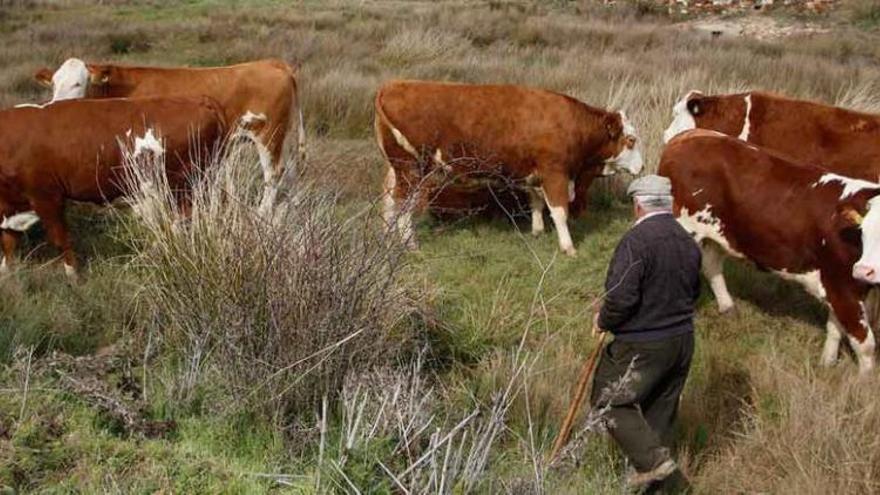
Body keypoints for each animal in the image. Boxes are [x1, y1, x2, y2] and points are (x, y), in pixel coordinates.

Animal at [0, 95, 227, 278]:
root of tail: (198, 101)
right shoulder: (11, 205)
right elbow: (9, 243)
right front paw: (6, 276)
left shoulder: (46, 196)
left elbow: (60, 239)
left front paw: (73, 277)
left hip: (180, 186)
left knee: (180, 222)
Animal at [35, 57, 302, 214]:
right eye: (54, 83)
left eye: (79, 83)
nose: (55, 105)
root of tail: (273, 63)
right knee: (288, 174)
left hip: (269, 135)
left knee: (273, 175)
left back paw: (262, 214)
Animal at [374, 80, 644, 256]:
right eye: (631, 140)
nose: (642, 166)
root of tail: (392, 86)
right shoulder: (555, 172)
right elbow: (559, 211)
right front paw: (568, 247)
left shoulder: (534, 173)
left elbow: (536, 202)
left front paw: (537, 231)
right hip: (412, 169)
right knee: (403, 205)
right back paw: (411, 246)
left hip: (396, 167)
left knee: (388, 201)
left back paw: (387, 241)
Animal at [660, 130, 880, 374]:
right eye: (864, 230)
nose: (865, 270)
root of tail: (687, 136)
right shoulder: (843, 288)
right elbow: (865, 344)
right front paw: (864, 380)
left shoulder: (839, 287)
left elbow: (834, 329)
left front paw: (827, 363)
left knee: (711, 264)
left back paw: (728, 307)